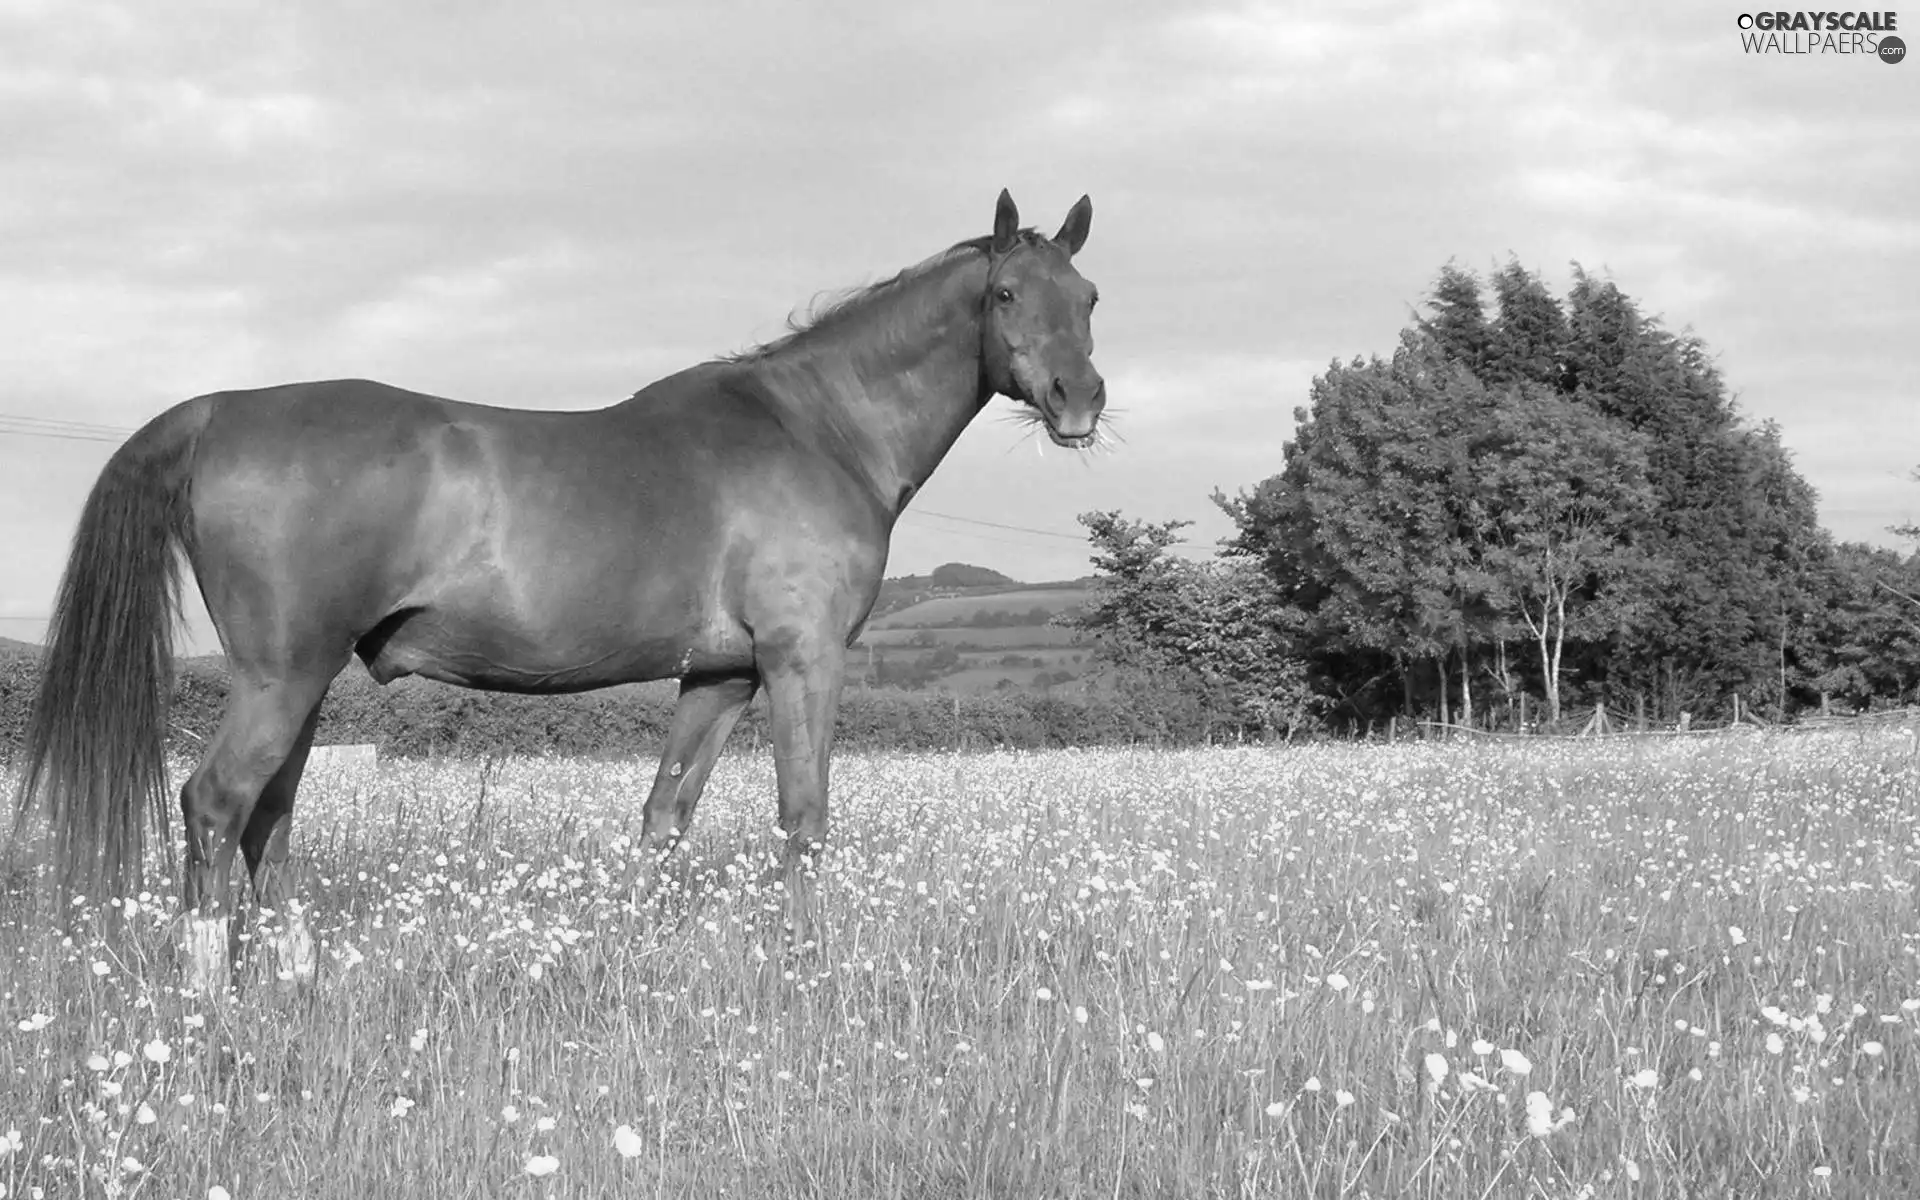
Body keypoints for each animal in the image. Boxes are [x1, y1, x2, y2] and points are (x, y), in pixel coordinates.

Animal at [11, 187, 1113, 990]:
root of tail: (215, 411)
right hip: (282, 676)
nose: (1081, 401)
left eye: (1090, 298)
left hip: (302, 682)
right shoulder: (802, 662)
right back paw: (208, 1006)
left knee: (268, 816)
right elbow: (803, 821)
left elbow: (665, 821)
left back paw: (293, 984)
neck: (813, 427)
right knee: (216, 803)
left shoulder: (720, 678)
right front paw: (808, 975)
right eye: (1006, 296)